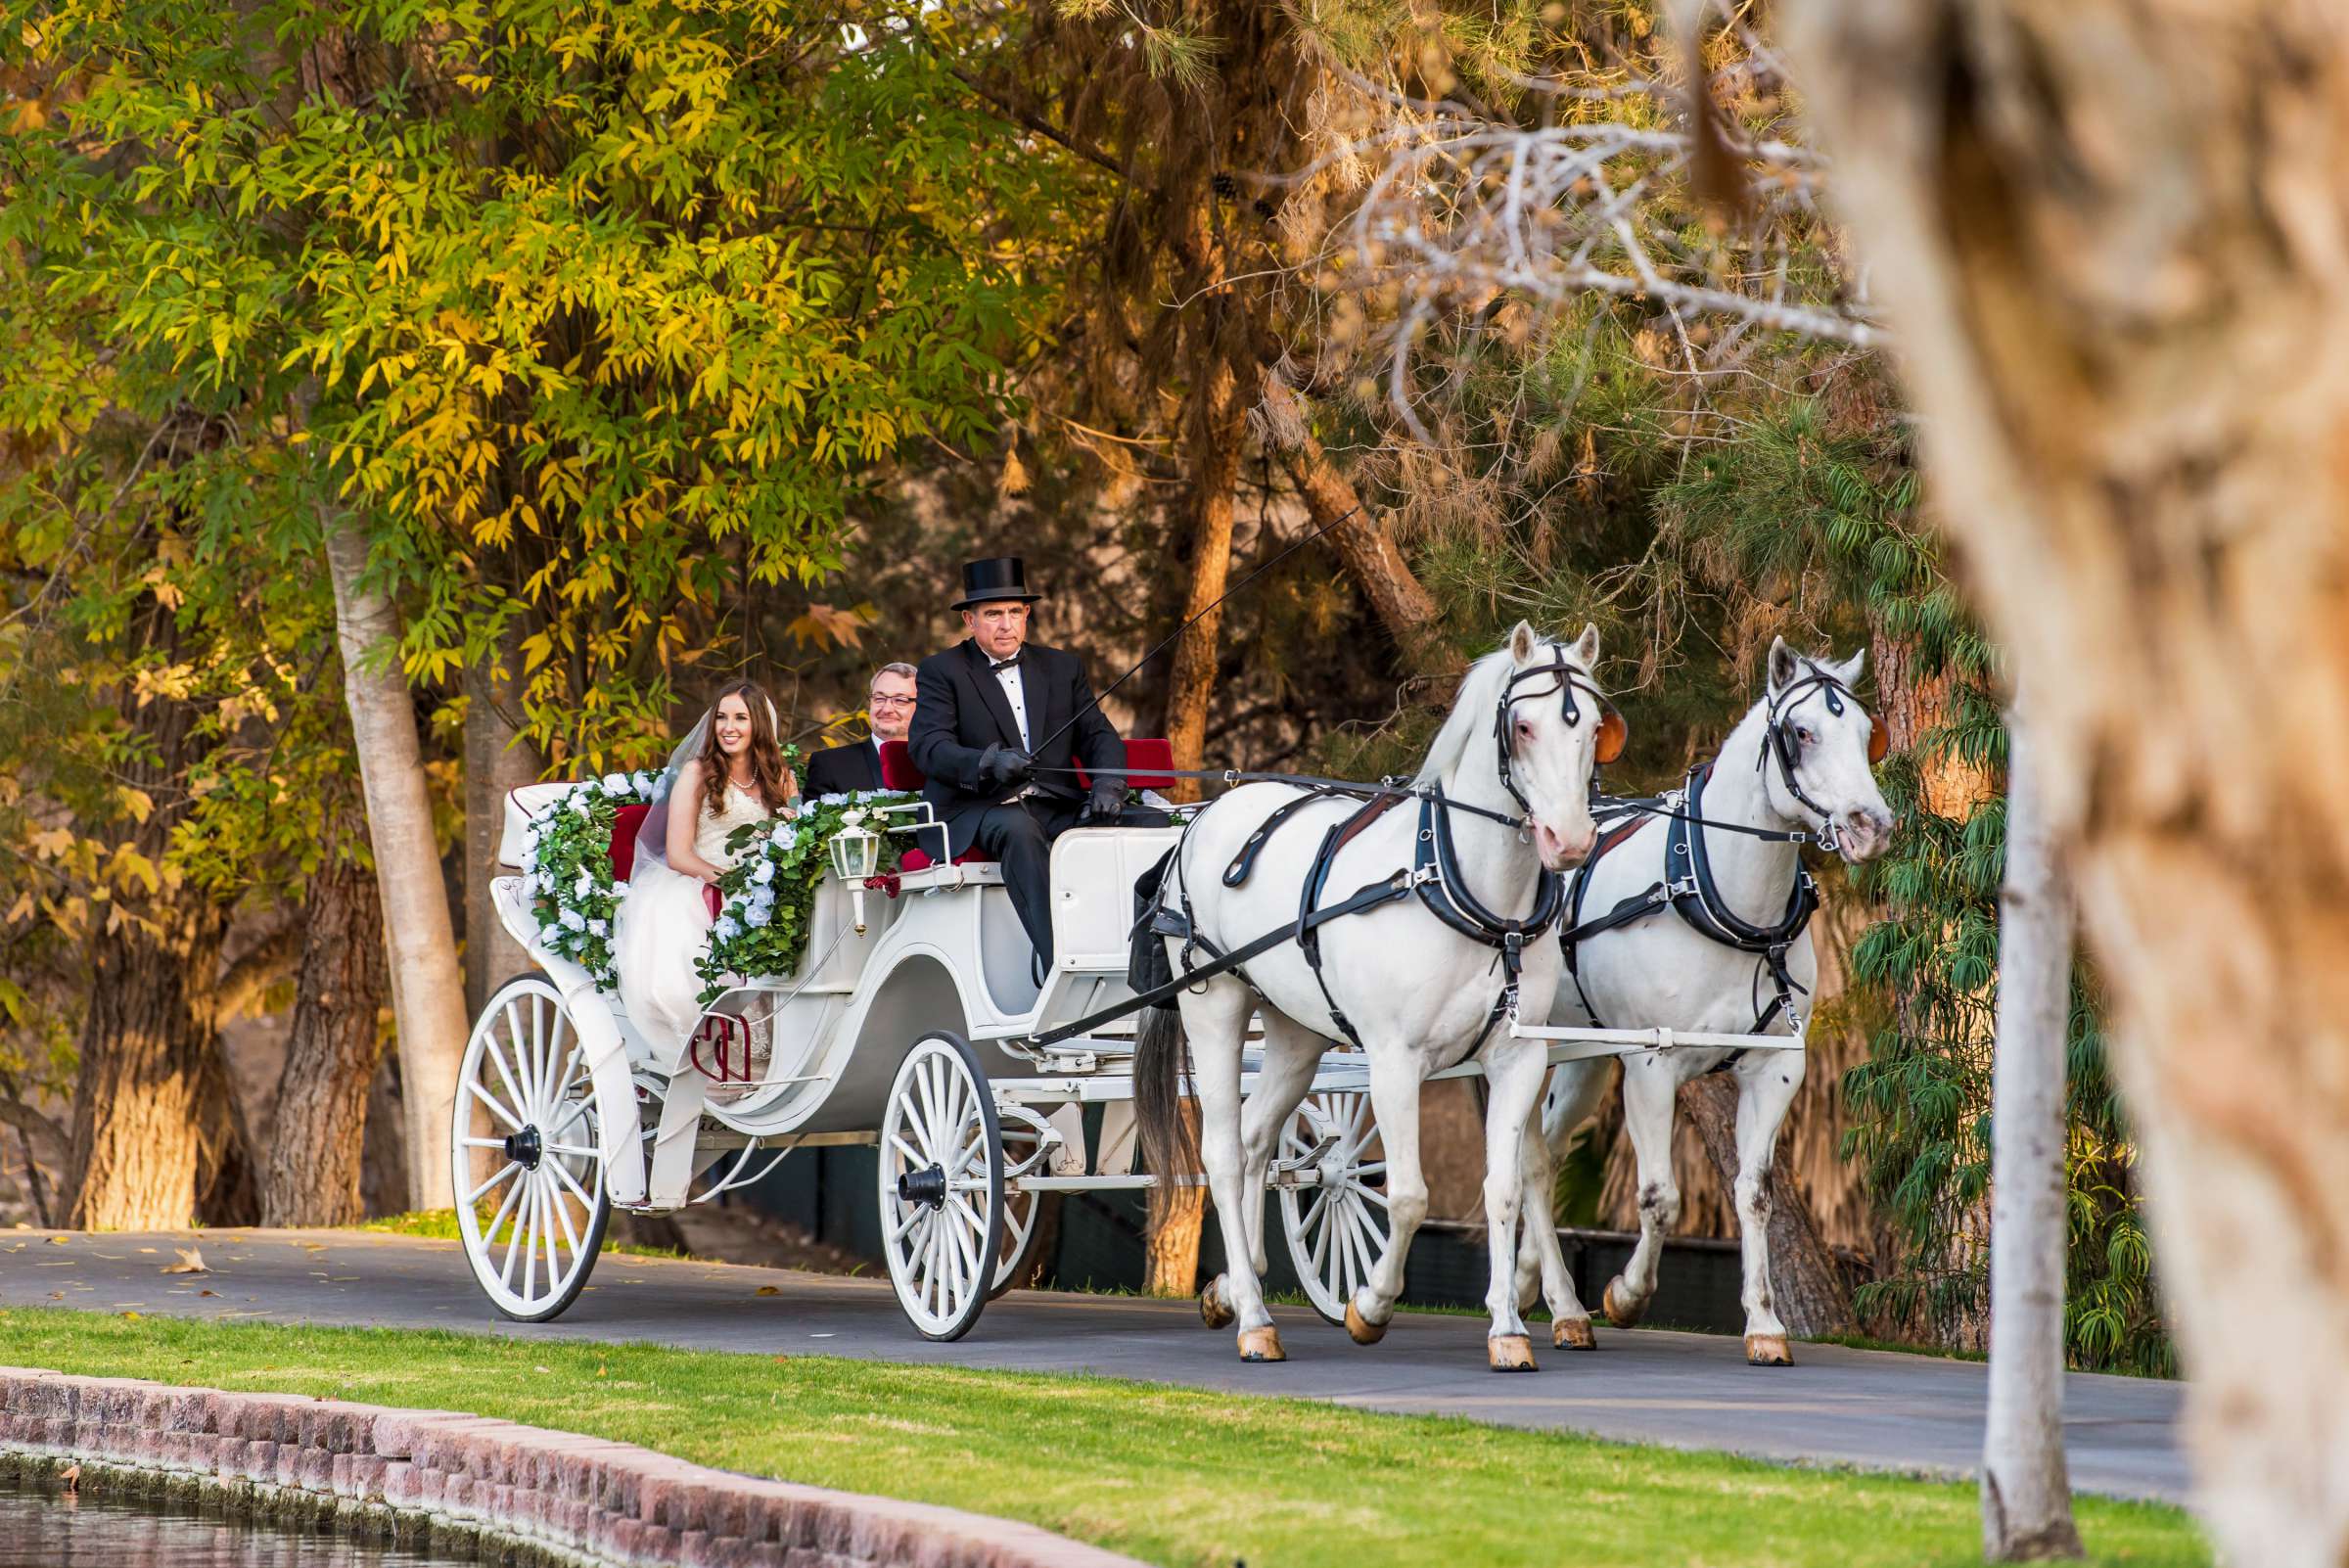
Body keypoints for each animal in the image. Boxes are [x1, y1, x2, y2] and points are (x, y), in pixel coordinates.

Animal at [1136, 623, 1616, 1370]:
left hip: (1296, 1032)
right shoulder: (1394, 1061)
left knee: (1254, 1139)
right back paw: (1253, 1318)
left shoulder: (1518, 1061)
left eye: (1594, 728)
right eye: (1524, 726)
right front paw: (1369, 1305)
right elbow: (1412, 1196)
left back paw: (1234, 1290)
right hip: (1213, 1006)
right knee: (1221, 1151)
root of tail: (1206, 813)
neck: (1460, 887)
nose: (1569, 840)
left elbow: (1505, 1187)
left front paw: (1508, 1328)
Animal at [1522, 638, 1888, 1360]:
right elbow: (1660, 1196)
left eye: (1868, 735)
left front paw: (1766, 1323)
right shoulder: (1649, 1066)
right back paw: (1566, 1306)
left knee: (1543, 1157)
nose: (1872, 825)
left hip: (1582, 1061)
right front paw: (1626, 1296)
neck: (1714, 894)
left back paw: (1538, 1290)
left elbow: (1755, 1195)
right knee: (1529, 1164)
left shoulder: (1776, 1068)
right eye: (1802, 733)